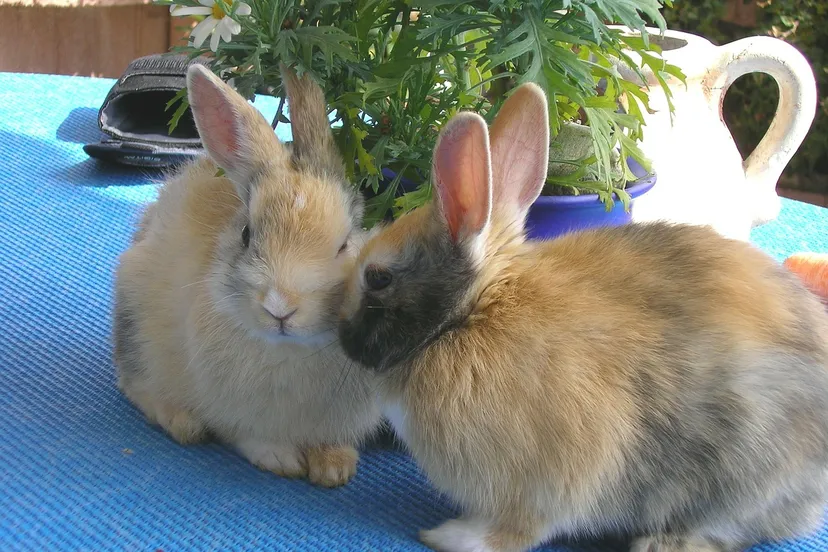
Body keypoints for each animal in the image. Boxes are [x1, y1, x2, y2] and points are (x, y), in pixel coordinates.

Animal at [113, 63, 382, 488]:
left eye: (344, 245)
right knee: (135, 386)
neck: (291, 349)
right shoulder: (235, 415)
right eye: (246, 235)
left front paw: (335, 466)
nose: (280, 307)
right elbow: (249, 437)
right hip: (134, 324)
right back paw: (183, 422)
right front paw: (281, 459)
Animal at [336, 82, 828, 551]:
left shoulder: (545, 480)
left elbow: (519, 529)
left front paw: (453, 536)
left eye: (377, 278)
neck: (472, 314)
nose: (342, 337)